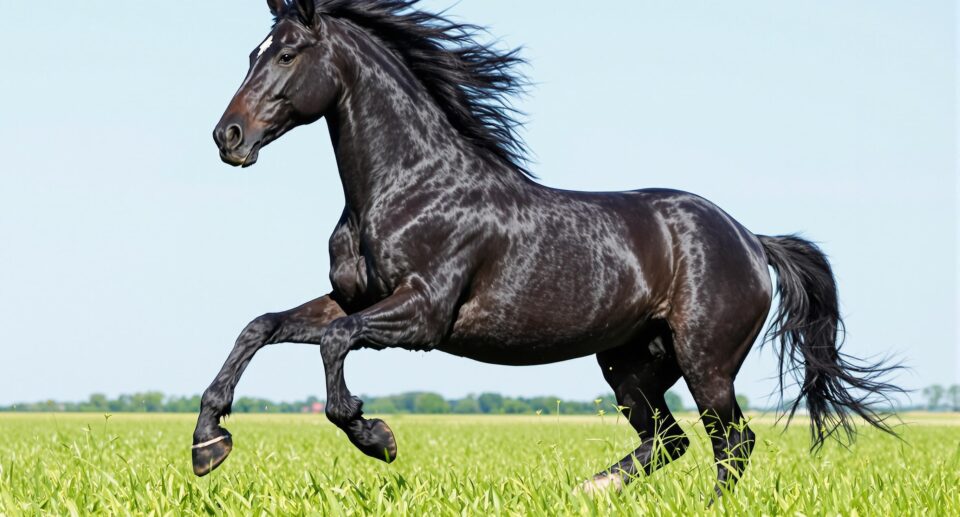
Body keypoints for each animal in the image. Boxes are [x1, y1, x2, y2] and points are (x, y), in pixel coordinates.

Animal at [192, 0, 901, 496]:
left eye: (287, 55)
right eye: (253, 52)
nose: (228, 137)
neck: (412, 186)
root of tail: (751, 239)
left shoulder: (422, 316)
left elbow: (336, 347)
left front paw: (377, 437)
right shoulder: (351, 298)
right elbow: (262, 327)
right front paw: (208, 442)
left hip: (706, 362)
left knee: (732, 444)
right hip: (631, 364)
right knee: (668, 441)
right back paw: (592, 488)